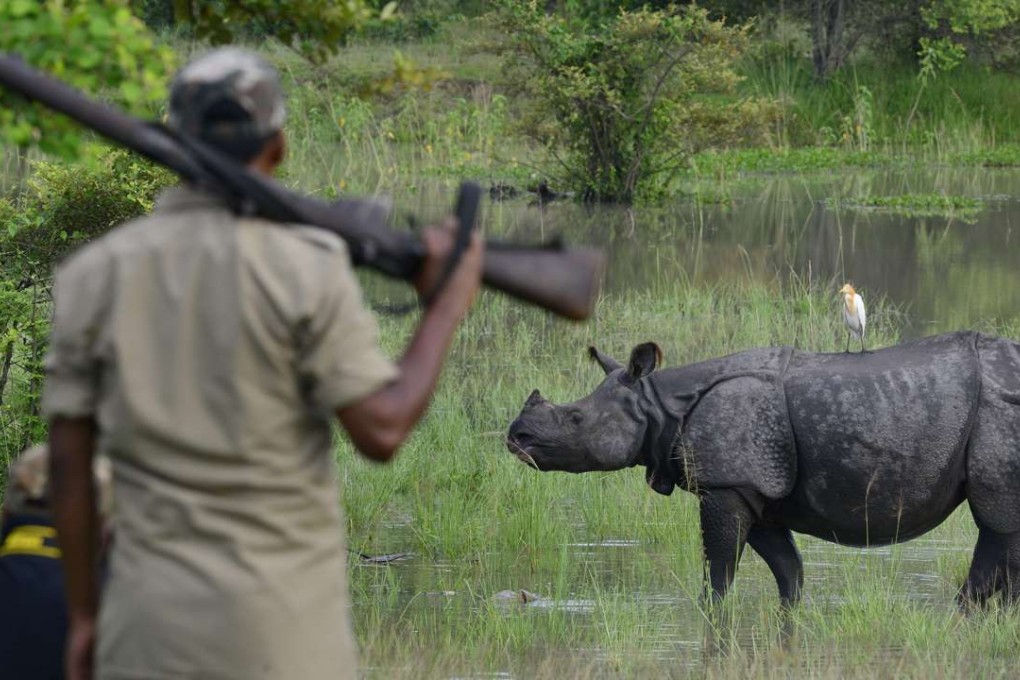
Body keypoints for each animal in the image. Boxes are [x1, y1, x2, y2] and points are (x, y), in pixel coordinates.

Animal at [506, 331, 1020, 608]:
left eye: (575, 419)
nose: (516, 437)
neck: (659, 404)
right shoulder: (756, 491)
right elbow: (788, 572)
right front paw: (786, 630)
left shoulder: (727, 484)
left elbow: (718, 575)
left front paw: (712, 624)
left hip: (1001, 410)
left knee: (998, 527)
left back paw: (960, 621)